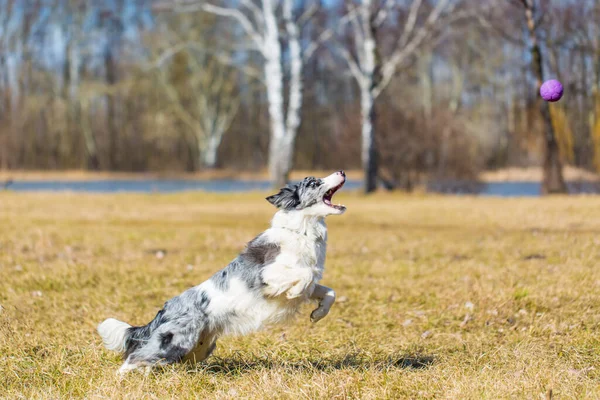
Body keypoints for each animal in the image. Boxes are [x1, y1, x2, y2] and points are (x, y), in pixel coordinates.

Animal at [97, 170, 346, 374]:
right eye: (314, 182)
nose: (342, 171)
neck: (302, 231)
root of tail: (165, 310)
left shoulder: (314, 280)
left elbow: (329, 291)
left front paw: (318, 314)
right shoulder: (267, 275)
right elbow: (303, 277)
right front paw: (295, 293)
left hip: (200, 348)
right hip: (177, 341)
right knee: (134, 357)